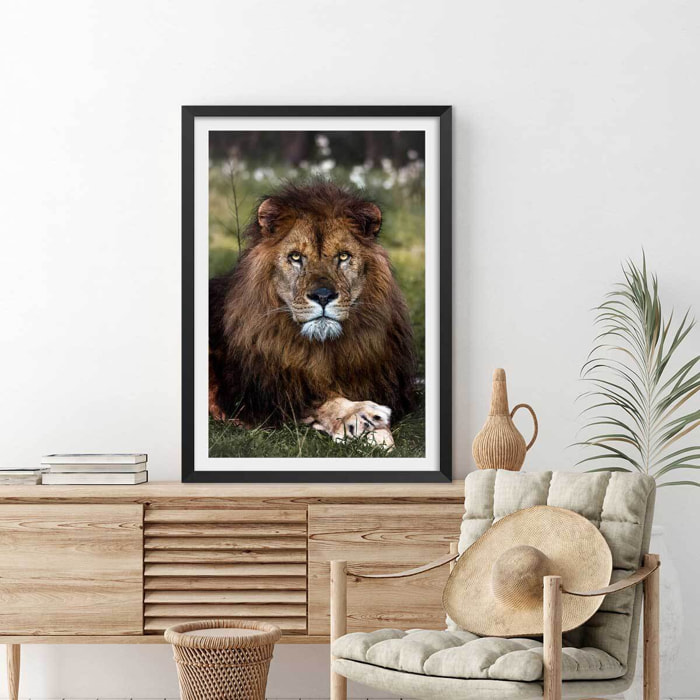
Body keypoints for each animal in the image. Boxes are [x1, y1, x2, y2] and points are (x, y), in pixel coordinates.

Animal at [208, 181, 417, 447]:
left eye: (343, 256)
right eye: (296, 257)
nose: (323, 296)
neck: (322, 349)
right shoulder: (253, 396)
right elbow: (318, 401)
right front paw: (362, 418)